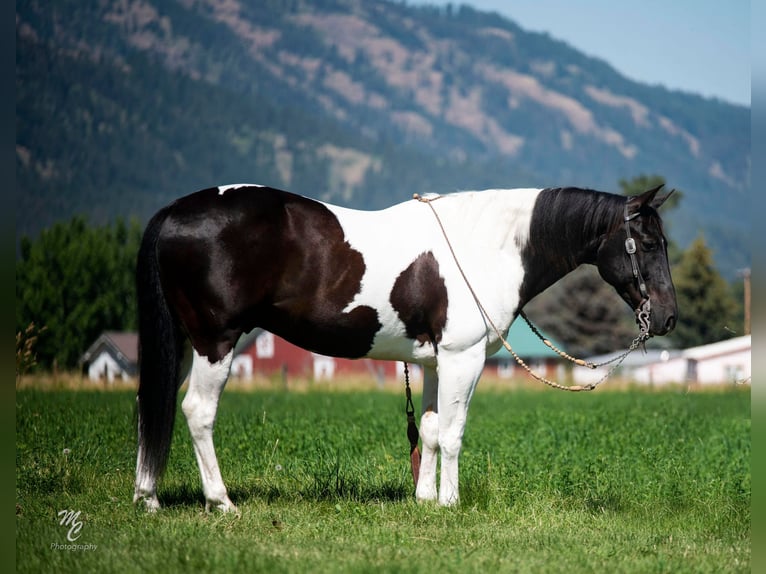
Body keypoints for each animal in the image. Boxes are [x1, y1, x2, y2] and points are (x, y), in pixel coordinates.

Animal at [132, 183, 680, 512]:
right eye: (649, 243)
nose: (668, 317)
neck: (487, 246)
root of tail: (176, 212)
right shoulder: (464, 358)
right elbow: (455, 434)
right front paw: (451, 503)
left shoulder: (435, 362)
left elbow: (432, 432)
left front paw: (424, 500)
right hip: (216, 340)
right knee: (197, 411)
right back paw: (221, 501)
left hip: (184, 341)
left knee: (153, 405)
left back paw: (149, 498)